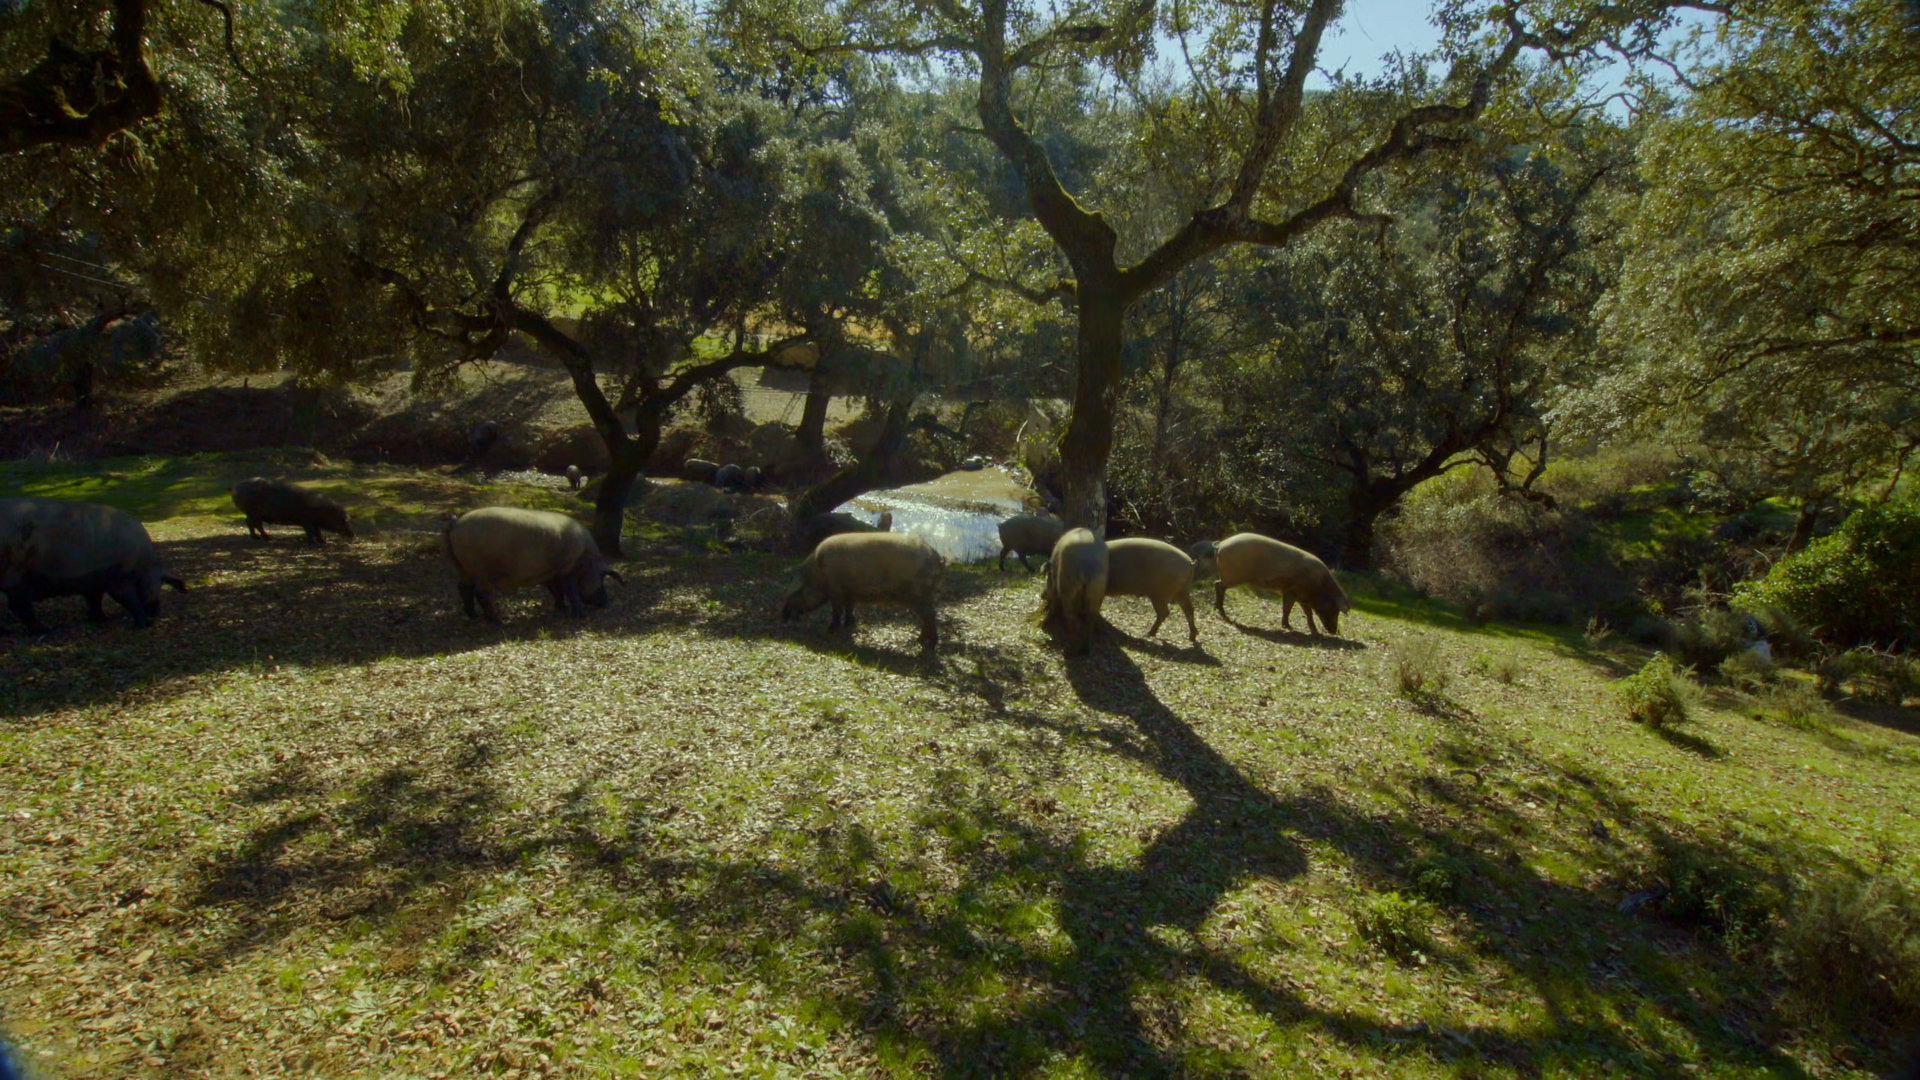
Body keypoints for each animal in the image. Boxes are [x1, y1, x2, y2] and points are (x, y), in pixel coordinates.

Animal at [0, 497, 185, 633]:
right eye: (155, 585)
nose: (156, 614)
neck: (141, 565)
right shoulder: (119, 581)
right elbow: (129, 600)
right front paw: (143, 625)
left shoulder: (93, 581)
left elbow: (95, 600)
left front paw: (101, 619)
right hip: (17, 577)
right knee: (20, 607)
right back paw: (46, 630)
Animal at [443, 507, 621, 624]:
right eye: (602, 577)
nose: (605, 602)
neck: (588, 560)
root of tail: (456, 523)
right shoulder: (569, 570)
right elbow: (571, 591)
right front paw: (581, 615)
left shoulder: (551, 573)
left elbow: (556, 591)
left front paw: (561, 609)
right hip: (481, 571)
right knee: (481, 593)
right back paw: (497, 621)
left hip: (462, 568)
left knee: (463, 589)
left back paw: (474, 616)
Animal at [780, 531, 944, 650]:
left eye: (794, 593)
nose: (783, 617)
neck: (817, 574)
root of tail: (937, 558)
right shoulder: (850, 592)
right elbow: (849, 607)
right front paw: (849, 625)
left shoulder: (836, 591)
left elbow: (836, 611)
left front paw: (831, 631)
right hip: (924, 596)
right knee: (928, 617)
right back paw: (921, 641)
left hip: (919, 595)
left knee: (930, 615)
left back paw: (927, 644)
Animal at [1211, 532, 1350, 636]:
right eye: (1335, 610)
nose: (1335, 632)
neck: (1319, 587)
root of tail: (1221, 544)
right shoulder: (1291, 592)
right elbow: (1287, 608)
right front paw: (1289, 627)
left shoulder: (1302, 598)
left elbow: (1308, 614)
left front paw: (1315, 633)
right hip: (1231, 577)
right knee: (1218, 585)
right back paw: (1221, 611)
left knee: (1217, 584)